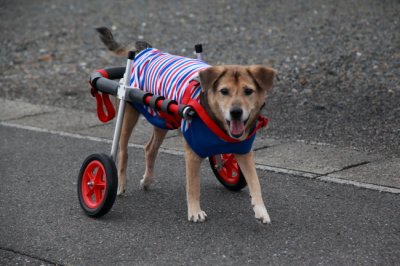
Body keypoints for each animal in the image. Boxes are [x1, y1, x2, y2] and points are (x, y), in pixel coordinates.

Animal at [97, 27, 278, 222]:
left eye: (248, 91)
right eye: (224, 91)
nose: (236, 112)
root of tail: (146, 49)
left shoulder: (243, 152)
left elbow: (255, 183)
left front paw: (261, 211)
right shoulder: (192, 154)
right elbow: (193, 187)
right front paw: (195, 211)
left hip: (162, 118)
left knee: (150, 149)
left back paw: (147, 180)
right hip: (128, 112)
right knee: (123, 152)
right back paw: (119, 184)